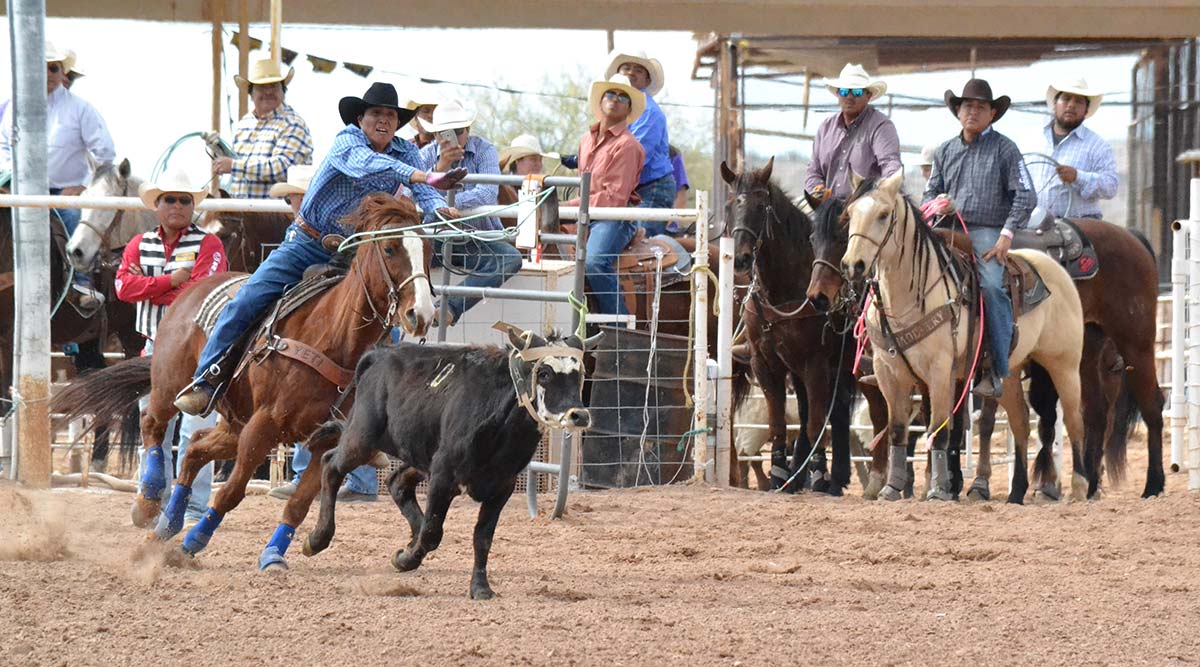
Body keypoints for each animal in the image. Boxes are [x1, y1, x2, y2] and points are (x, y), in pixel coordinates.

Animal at [54, 195, 436, 559]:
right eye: (390, 248)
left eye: (429, 251)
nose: (421, 313)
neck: (332, 335)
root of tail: (192, 287)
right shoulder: (263, 425)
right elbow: (231, 492)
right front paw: (193, 543)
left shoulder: (323, 439)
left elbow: (298, 504)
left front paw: (273, 555)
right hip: (172, 385)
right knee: (153, 424)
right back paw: (148, 502)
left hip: (235, 421)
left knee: (195, 449)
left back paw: (167, 525)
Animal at [715, 160, 859, 494]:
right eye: (729, 205)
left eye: (761, 206)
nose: (740, 258)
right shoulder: (765, 363)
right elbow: (779, 422)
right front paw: (780, 474)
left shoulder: (816, 363)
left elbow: (817, 422)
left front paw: (818, 475)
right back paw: (801, 473)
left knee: (835, 410)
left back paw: (832, 477)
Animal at [835, 170, 1089, 499]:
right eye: (850, 213)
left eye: (883, 215)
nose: (853, 265)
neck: (910, 297)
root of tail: (1055, 269)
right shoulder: (888, 372)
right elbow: (898, 430)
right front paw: (892, 487)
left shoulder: (940, 370)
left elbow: (939, 430)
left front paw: (938, 490)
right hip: (1009, 372)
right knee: (1020, 421)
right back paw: (1016, 493)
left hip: (1064, 364)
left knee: (1074, 420)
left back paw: (1080, 487)